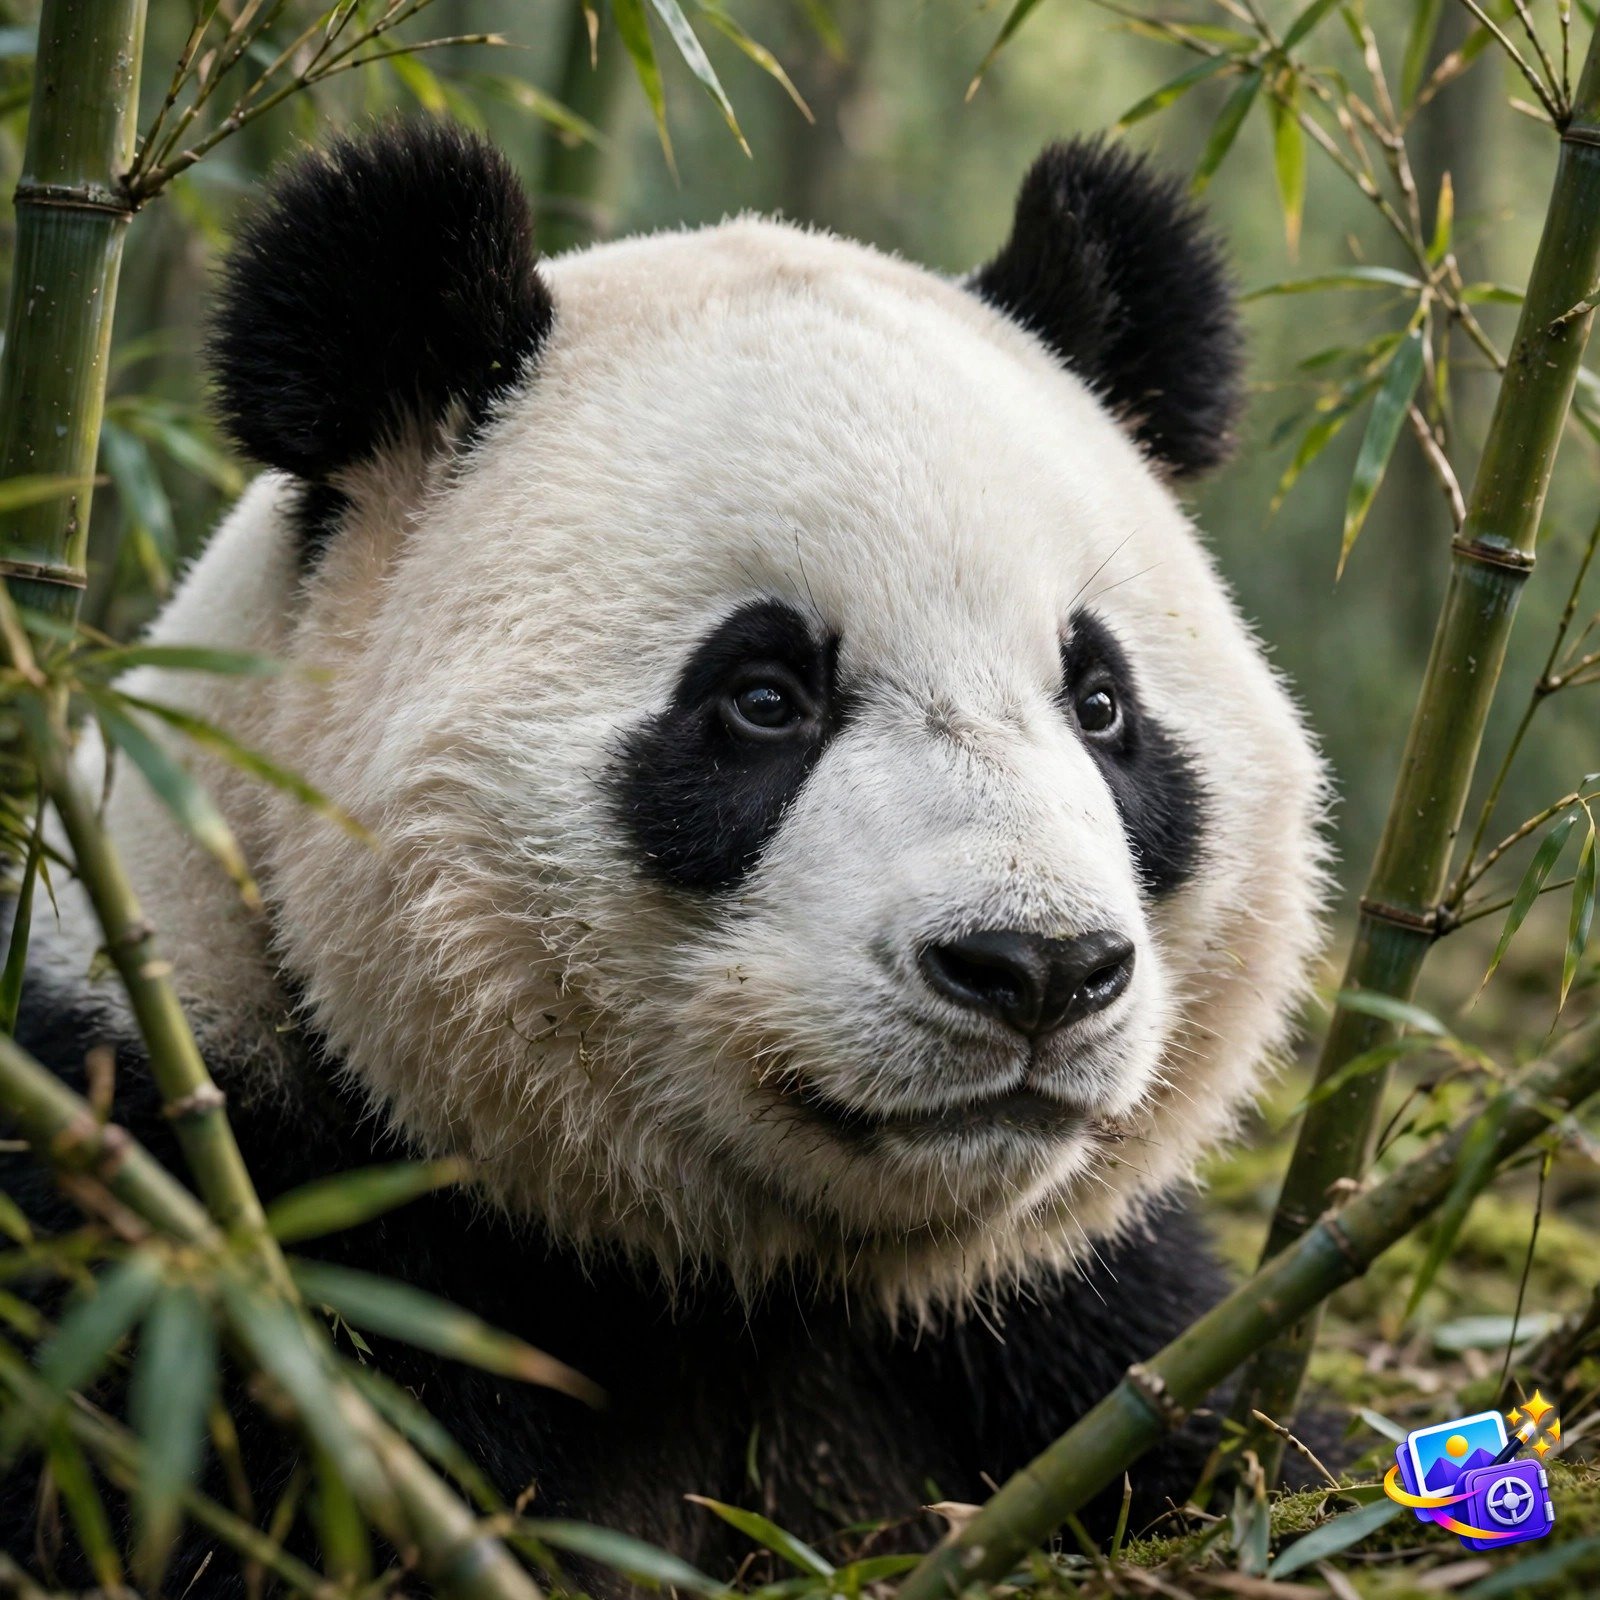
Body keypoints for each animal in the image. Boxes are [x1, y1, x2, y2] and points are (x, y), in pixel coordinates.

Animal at [5, 121, 1326, 1588]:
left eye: (1100, 706)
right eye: (763, 699)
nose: (1036, 968)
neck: (730, 1289)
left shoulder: (1068, 1325)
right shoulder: (182, 1235)